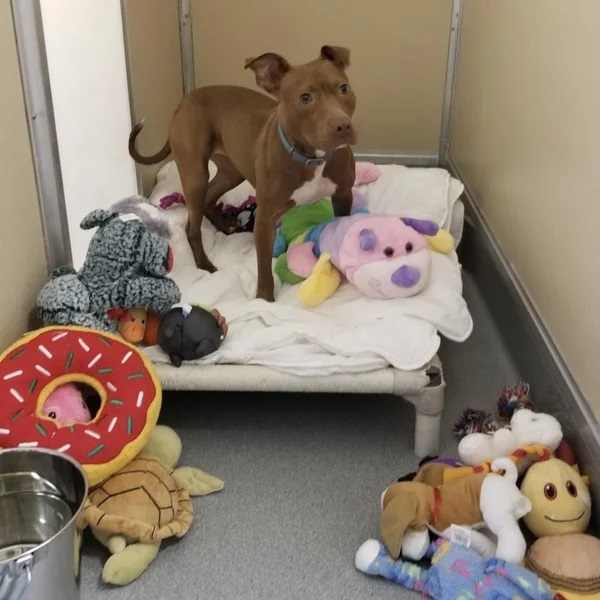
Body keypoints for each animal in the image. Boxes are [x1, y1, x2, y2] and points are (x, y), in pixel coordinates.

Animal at [128, 44, 354, 302]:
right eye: (305, 98)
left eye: (344, 88)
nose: (343, 126)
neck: (312, 157)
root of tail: (183, 102)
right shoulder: (266, 219)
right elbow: (264, 267)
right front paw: (265, 300)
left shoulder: (343, 195)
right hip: (195, 175)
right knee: (192, 226)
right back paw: (205, 264)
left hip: (232, 171)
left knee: (208, 198)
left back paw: (224, 225)